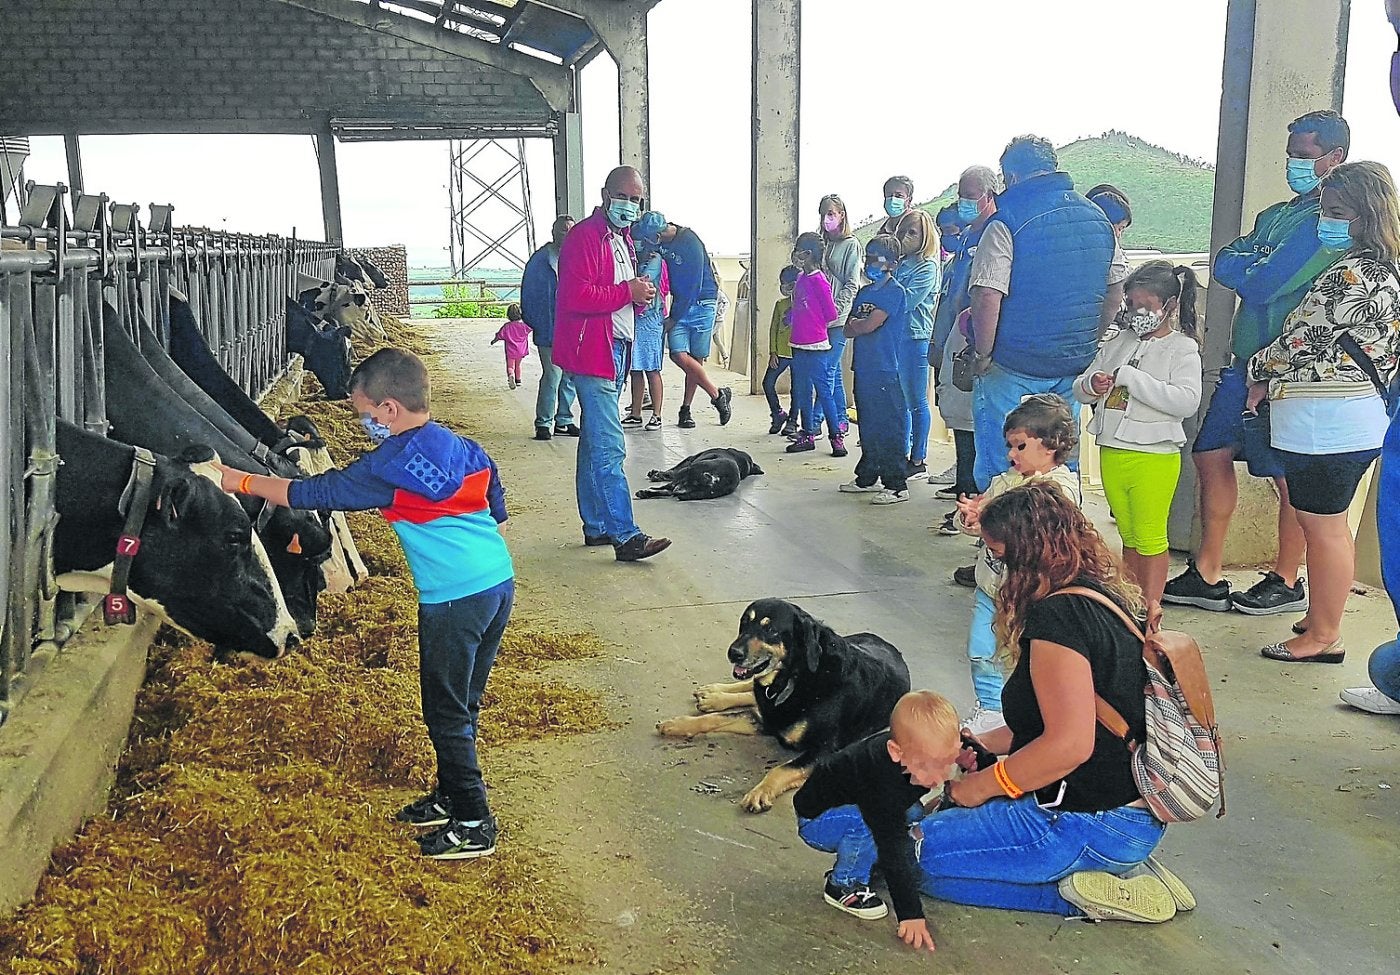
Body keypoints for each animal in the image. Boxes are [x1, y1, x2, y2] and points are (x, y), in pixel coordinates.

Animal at [638, 445, 767, 498]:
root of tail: (715, 480)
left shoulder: (689, 459)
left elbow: (672, 470)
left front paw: (657, 474)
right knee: (669, 491)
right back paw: (646, 493)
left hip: (687, 471)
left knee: (669, 487)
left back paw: (646, 491)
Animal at [655, 596, 907, 812]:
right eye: (744, 623)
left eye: (771, 630)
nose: (733, 653)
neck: (793, 677)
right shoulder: (764, 719)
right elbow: (718, 717)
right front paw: (679, 724)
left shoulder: (824, 750)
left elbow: (780, 769)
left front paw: (759, 793)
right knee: (748, 688)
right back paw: (713, 694)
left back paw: (713, 696)